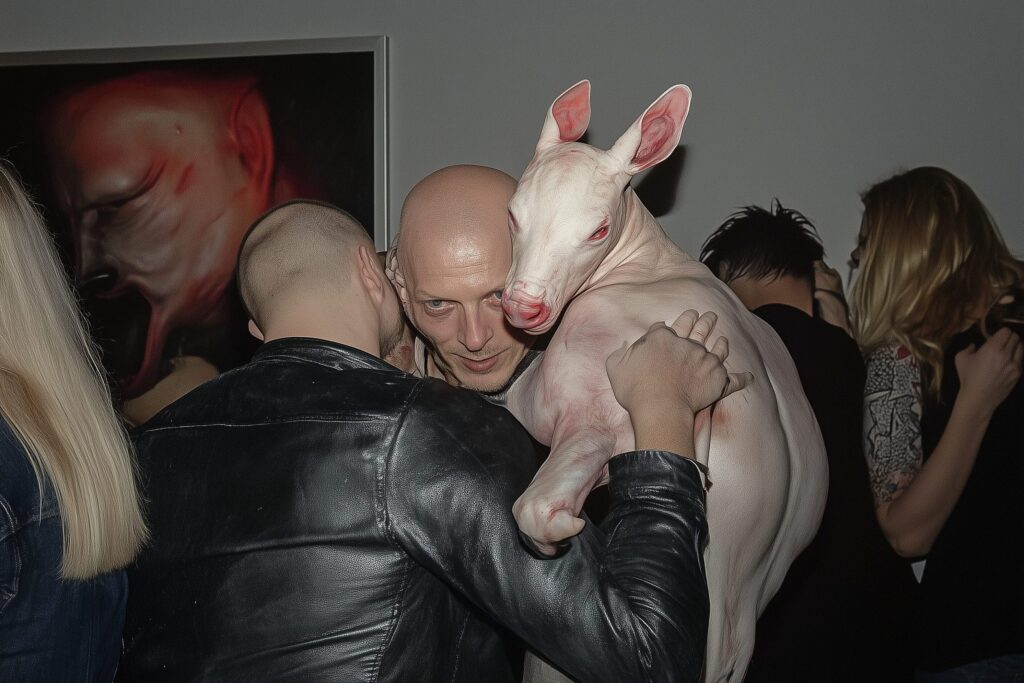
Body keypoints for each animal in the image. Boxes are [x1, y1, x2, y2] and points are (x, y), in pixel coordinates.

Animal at [500, 81, 827, 682]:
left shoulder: (577, 407)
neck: (646, 262)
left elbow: (540, 502)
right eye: (513, 214)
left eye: (598, 230)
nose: (523, 307)